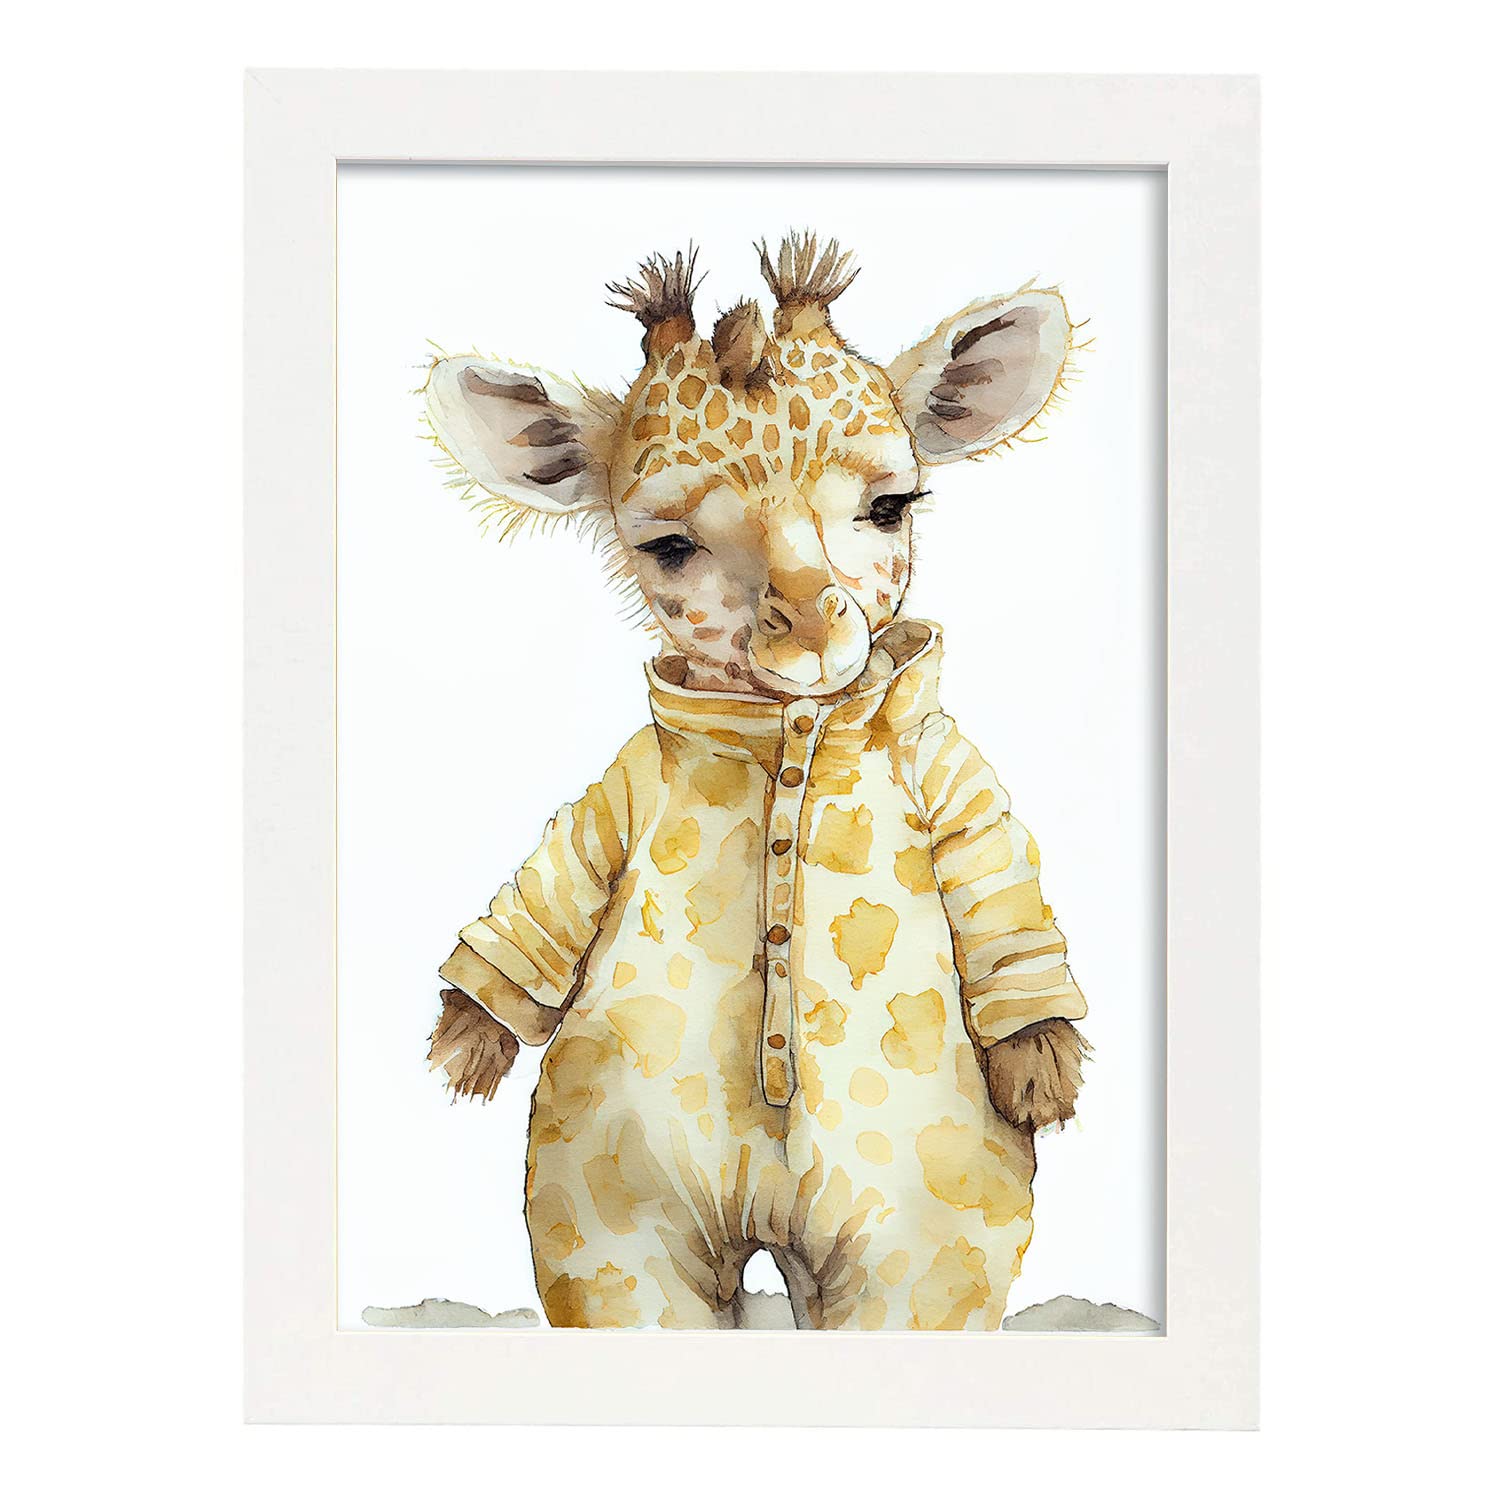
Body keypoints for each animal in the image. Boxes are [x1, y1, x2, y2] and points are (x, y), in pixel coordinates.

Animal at [422, 234, 1091, 1330]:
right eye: (668, 546)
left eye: (890, 506)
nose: (813, 633)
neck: (788, 731)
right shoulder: (617, 797)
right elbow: (545, 898)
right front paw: (464, 1047)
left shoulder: (953, 780)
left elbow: (1005, 907)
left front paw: (1042, 1073)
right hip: (609, 1219)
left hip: (922, 1241)